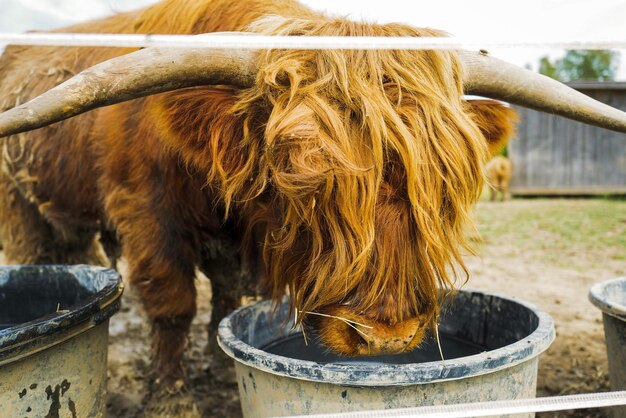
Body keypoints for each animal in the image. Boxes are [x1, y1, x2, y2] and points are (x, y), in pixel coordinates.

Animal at [1, 0, 624, 414]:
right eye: (302, 181)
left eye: (444, 187)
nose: (387, 339)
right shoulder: (148, 215)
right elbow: (173, 305)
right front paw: (171, 397)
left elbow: (228, 295)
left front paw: (218, 362)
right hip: (21, 205)